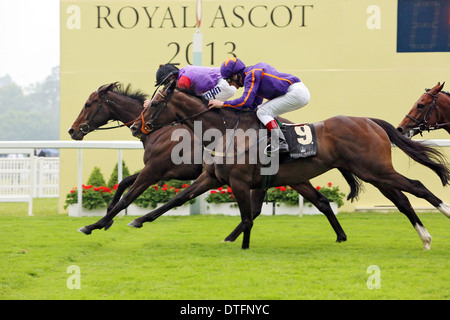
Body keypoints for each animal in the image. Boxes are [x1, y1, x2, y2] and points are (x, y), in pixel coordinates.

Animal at [68, 83, 348, 242]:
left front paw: (94, 224)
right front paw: (106, 219)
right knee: (318, 202)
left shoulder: (156, 170)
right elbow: (123, 183)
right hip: (288, 178)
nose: (72, 131)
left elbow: (129, 196)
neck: (162, 128)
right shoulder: (159, 171)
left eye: (88, 104)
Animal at [129, 82, 450, 250]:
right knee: (402, 200)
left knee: (417, 187)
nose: (134, 126)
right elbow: (177, 199)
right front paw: (138, 220)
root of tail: (370, 121)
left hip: (375, 169)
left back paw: (442, 216)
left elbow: (248, 217)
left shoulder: (241, 182)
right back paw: (424, 237)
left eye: (154, 104)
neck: (226, 130)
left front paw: (241, 246)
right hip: (373, 173)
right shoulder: (213, 178)